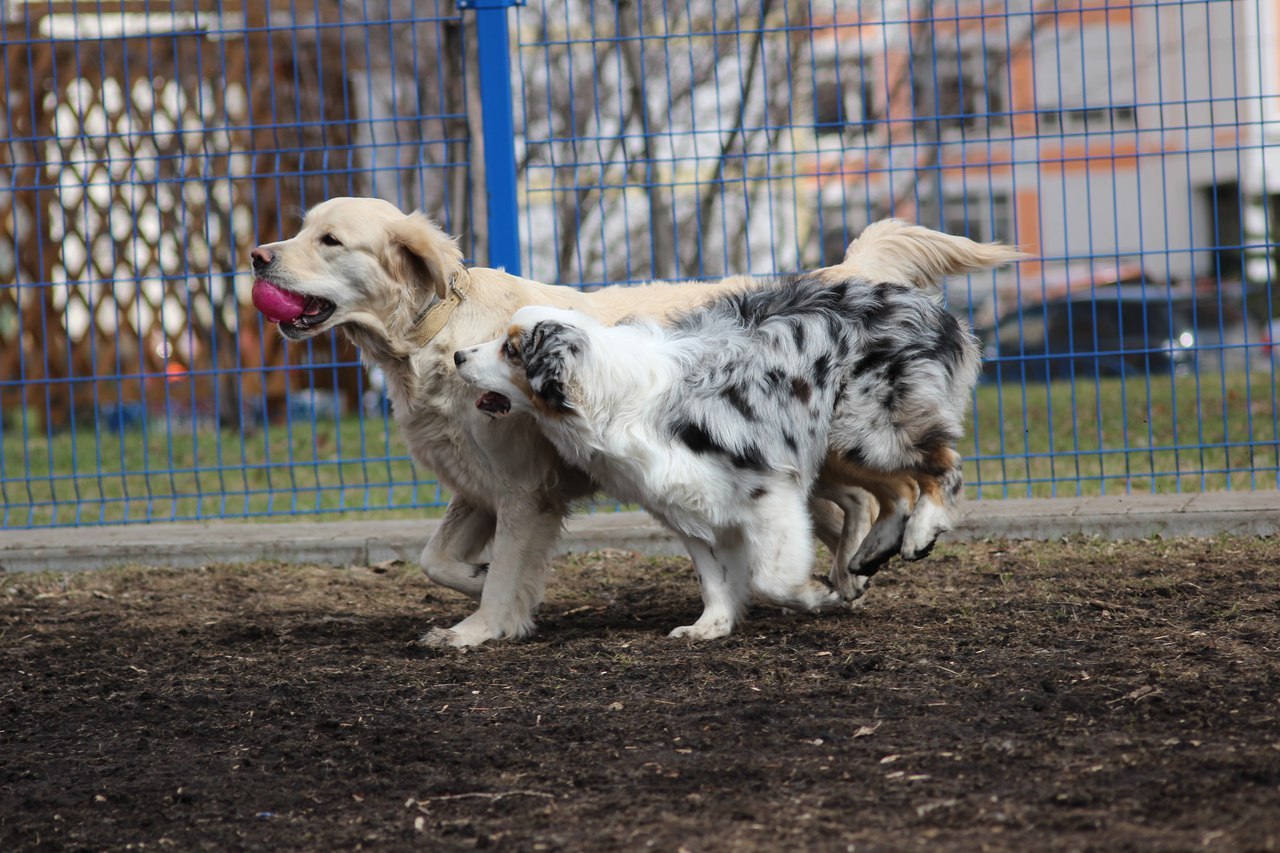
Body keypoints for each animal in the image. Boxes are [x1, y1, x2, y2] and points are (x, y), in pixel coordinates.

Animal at [249, 195, 1018, 640]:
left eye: (329, 241)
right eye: (300, 230)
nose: (256, 256)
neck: (437, 333)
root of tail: (845, 274)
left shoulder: (523, 490)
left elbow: (501, 574)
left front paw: (484, 626)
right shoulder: (477, 487)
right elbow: (436, 559)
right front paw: (476, 580)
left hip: (851, 441)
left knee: (908, 484)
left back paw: (875, 558)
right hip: (832, 454)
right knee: (866, 503)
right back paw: (857, 570)